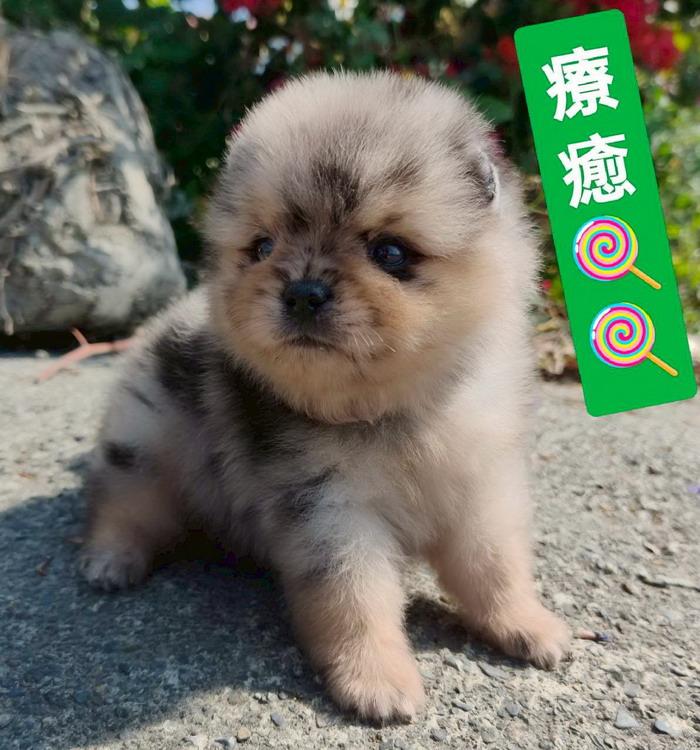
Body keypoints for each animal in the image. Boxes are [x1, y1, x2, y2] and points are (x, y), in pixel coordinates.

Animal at [80, 71, 570, 722]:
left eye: (390, 252)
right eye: (262, 248)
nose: (302, 291)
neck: (386, 409)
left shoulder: (481, 486)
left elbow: (496, 568)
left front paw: (526, 626)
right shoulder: (330, 511)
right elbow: (354, 601)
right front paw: (377, 679)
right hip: (146, 444)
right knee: (125, 503)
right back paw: (111, 560)